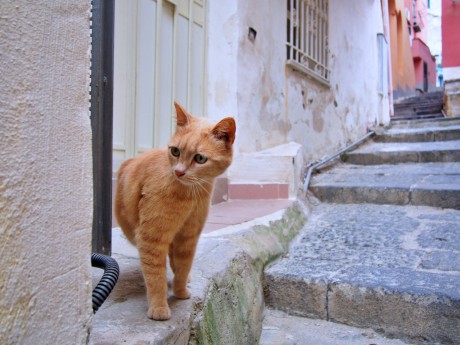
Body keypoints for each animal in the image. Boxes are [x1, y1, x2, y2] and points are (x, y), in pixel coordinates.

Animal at [114, 101, 235, 320]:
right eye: (176, 151)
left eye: (200, 158)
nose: (178, 172)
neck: (190, 195)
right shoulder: (152, 237)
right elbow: (155, 276)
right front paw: (159, 307)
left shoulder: (189, 236)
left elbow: (183, 265)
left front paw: (180, 291)